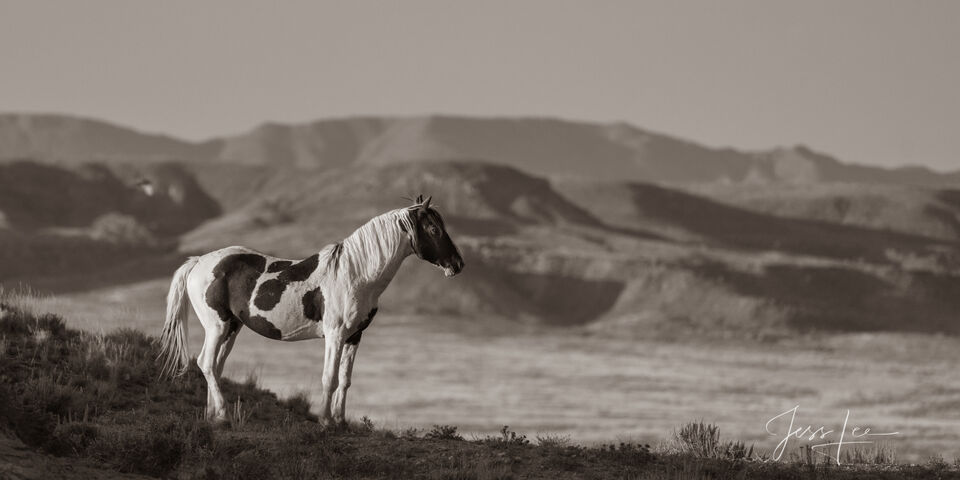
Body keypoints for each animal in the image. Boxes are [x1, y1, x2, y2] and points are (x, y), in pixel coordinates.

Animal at [158, 197, 464, 426]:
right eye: (434, 229)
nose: (457, 264)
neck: (356, 274)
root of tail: (199, 261)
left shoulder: (355, 336)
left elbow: (345, 380)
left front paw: (340, 421)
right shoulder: (335, 334)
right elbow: (329, 377)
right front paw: (325, 421)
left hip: (232, 327)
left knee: (216, 366)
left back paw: (213, 415)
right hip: (217, 325)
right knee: (206, 363)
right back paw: (222, 415)